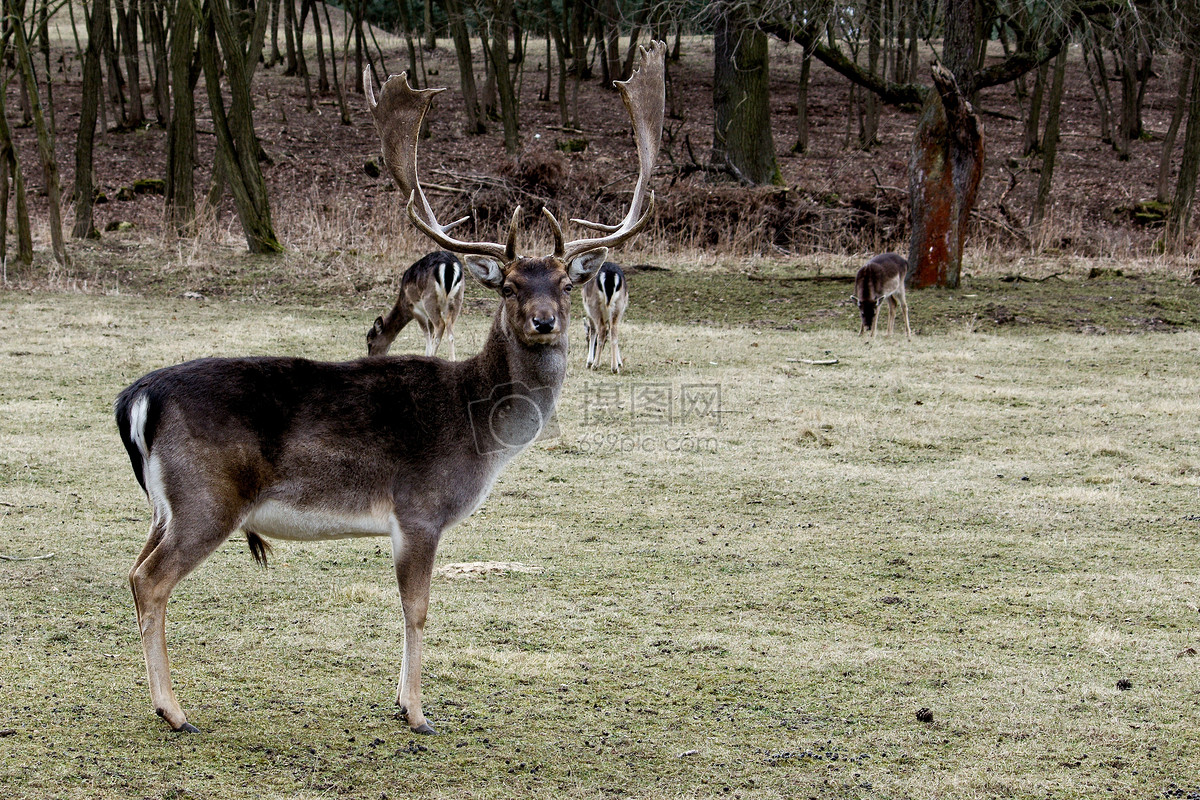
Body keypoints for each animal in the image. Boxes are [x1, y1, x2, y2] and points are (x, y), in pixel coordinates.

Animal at [112, 40, 667, 734]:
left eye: (566, 283)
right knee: (150, 580)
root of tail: (137, 397)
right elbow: (417, 609)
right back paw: (174, 711)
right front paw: (417, 712)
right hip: (205, 498)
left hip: (165, 504)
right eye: (510, 286)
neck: (478, 428)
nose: (544, 321)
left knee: (133, 569)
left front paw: (406, 703)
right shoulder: (420, 509)